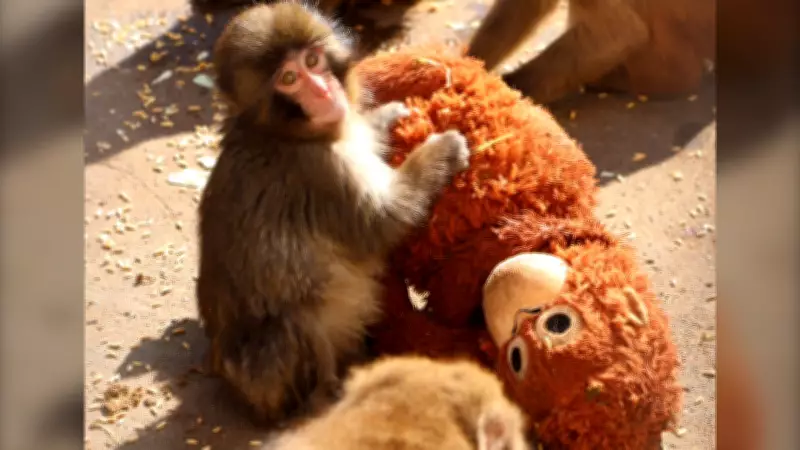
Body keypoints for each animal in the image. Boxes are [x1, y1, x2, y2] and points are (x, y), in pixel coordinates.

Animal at [197, 2, 471, 426]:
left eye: (313, 60)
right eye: (289, 78)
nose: (324, 91)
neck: (284, 134)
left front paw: (384, 117)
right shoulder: (321, 171)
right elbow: (382, 222)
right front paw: (440, 151)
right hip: (267, 377)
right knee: (290, 323)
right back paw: (324, 396)